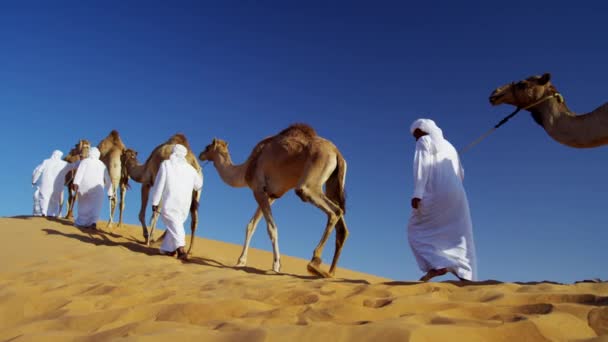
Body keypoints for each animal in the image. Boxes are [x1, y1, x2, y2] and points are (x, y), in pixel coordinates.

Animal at [200, 123, 350, 278]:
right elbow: (251, 225)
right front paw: (241, 261)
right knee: (342, 223)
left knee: (333, 210)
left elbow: (271, 228)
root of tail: (337, 153)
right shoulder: (270, 195)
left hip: (310, 182)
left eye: (207, 147)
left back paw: (314, 263)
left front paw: (276, 265)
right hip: (332, 184)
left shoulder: (258, 189)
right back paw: (330, 272)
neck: (247, 168)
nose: (200, 155)